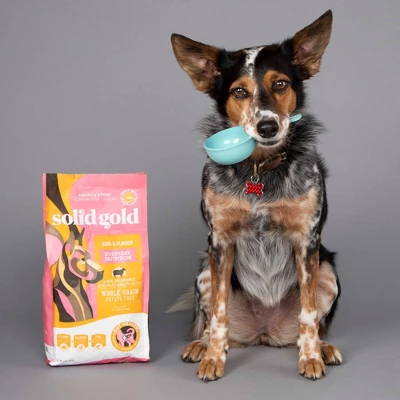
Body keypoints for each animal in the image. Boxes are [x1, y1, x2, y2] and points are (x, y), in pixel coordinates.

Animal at [169, 10, 342, 381]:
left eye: (280, 84)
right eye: (239, 91)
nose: (267, 126)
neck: (260, 169)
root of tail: (264, 333)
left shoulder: (307, 241)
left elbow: (308, 315)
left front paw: (310, 358)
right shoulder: (220, 242)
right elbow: (219, 315)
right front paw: (213, 359)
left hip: (328, 271)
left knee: (314, 323)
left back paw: (322, 347)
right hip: (204, 272)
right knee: (212, 323)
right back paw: (201, 345)